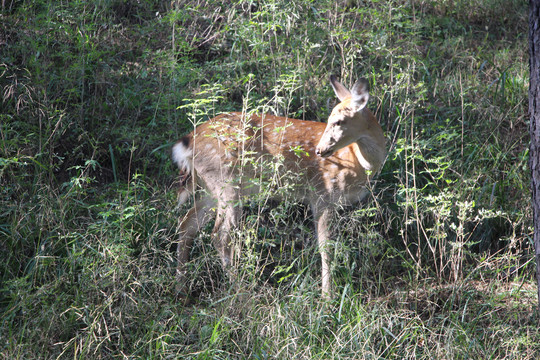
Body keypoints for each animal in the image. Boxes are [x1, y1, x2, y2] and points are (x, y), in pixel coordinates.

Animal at [171, 75, 386, 298]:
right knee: (220, 235)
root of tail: (187, 142)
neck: (357, 161)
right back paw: (239, 289)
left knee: (187, 223)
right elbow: (325, 246)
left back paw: (181, 289)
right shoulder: (322, 193)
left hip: (211, 188)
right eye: (329, 120)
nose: (320, 150)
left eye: (338, 121)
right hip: (227, 183)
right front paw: (327, 297)